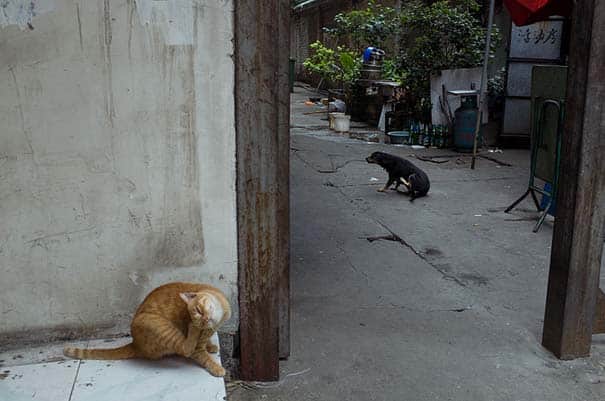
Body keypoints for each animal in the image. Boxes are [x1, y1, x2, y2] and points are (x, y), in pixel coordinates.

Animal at [63, 282, 229, 376]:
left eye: (199, 311)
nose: (204, 321)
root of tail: (135, 343)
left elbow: (207, 343)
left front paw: (211, 346)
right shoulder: (197, 348)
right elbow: (202, 356)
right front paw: (216, 368)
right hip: (158, 325)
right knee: (185, 348)